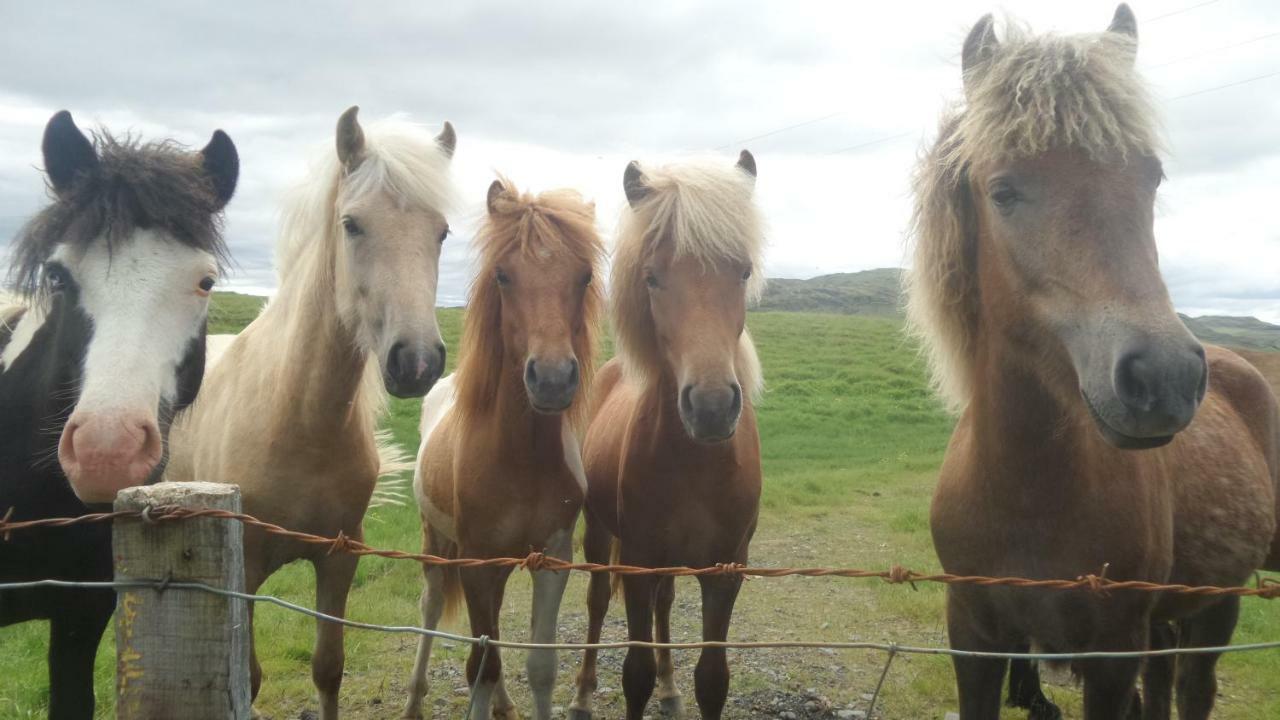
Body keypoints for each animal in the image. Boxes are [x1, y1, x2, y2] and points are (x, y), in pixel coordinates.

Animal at [165, 107, 455, 717]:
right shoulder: (245, 567)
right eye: (352, 224)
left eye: (441, 231)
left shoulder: (339, 558)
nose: (416, 361)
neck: (298, 418)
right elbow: (247, 678)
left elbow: (328, 668)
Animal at [401, 178, 601, 717]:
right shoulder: (476, 563)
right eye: (504, 275)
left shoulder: (553, 558)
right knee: (432, 609)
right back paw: (414, 700)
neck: (520, 459)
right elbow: (482, 665)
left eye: (584, 276)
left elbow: (539, 665)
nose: (551, 379)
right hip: (437, 543)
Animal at [568, 152, 762, 717]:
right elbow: (635, 673)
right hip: (599, 534)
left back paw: (671, 687)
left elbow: (713, 678)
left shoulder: (726, 572)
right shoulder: (637, 561)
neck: (697, 464)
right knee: (596, 601)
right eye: (652, 278)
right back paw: (582, 693)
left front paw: (681, 684)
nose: (713, 407)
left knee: (666, 605)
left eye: (743, 271)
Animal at [906, 4, 1280, 712]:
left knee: (1193, 687)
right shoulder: (973, 639)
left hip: (1218, 600)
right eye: (1002, 191)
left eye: (1151, 176)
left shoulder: (1111, 655)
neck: (1027, 494)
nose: (1165, 377)